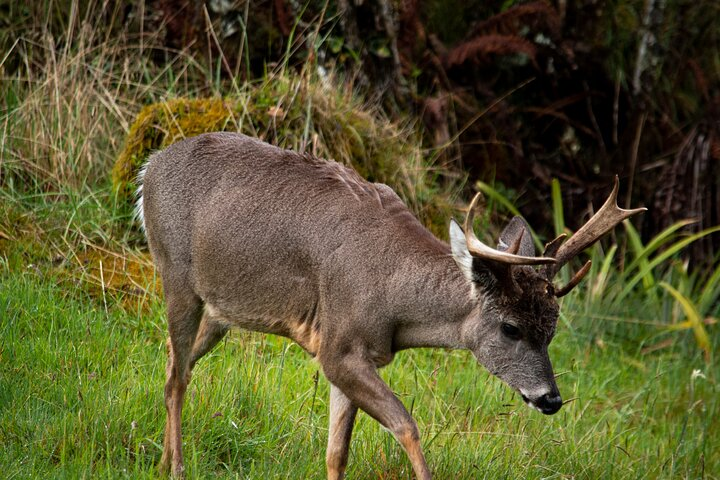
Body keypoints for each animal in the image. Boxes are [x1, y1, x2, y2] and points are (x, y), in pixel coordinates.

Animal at [136, 132, 645, 479]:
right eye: (510, 328)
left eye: (553, 328)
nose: (551, 399)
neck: (394, 301)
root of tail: (149, 169)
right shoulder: (338, 347)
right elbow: (407, 426)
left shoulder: (347, 357)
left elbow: (336, 453)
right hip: (176, 275)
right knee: (178, 378)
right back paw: (177, 468)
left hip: (219, 312)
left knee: (174, 364)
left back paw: (160, 460)